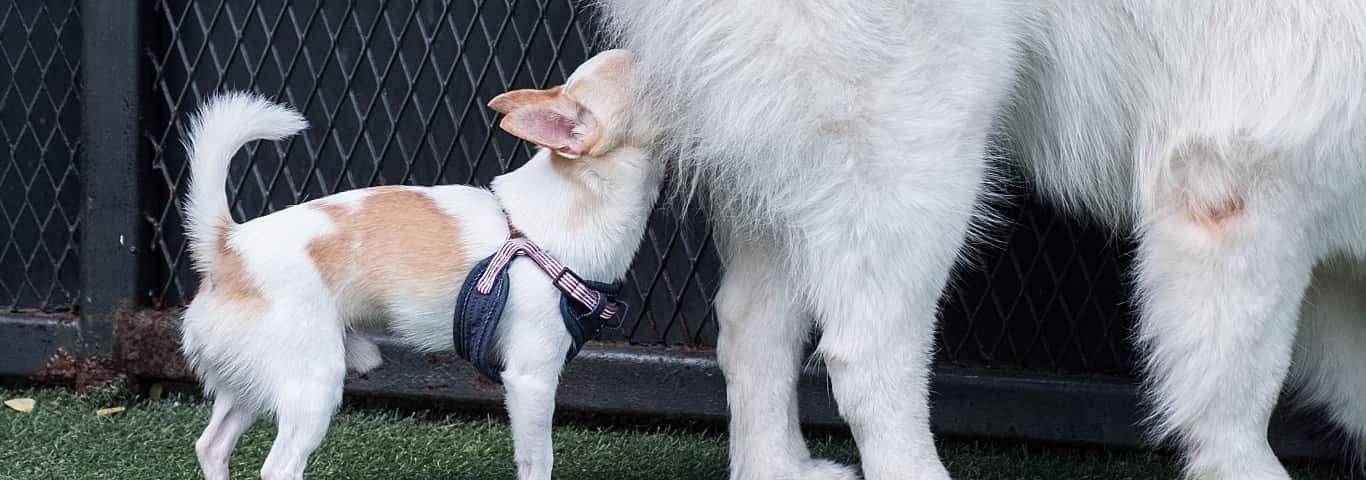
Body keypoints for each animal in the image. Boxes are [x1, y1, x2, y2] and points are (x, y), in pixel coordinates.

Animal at [176, 49, 655, 480]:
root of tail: (228, 245)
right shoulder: (531, 379)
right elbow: (538, 462)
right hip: (311, 382)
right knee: (278, 467)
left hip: (250, 380)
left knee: (212, 445)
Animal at [606, 0, 1366, 480]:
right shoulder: (1244, 182)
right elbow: (1240, 387)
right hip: (914, 142)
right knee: (867, 355)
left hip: (786, 161)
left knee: (749, 326)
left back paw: (780, 471)